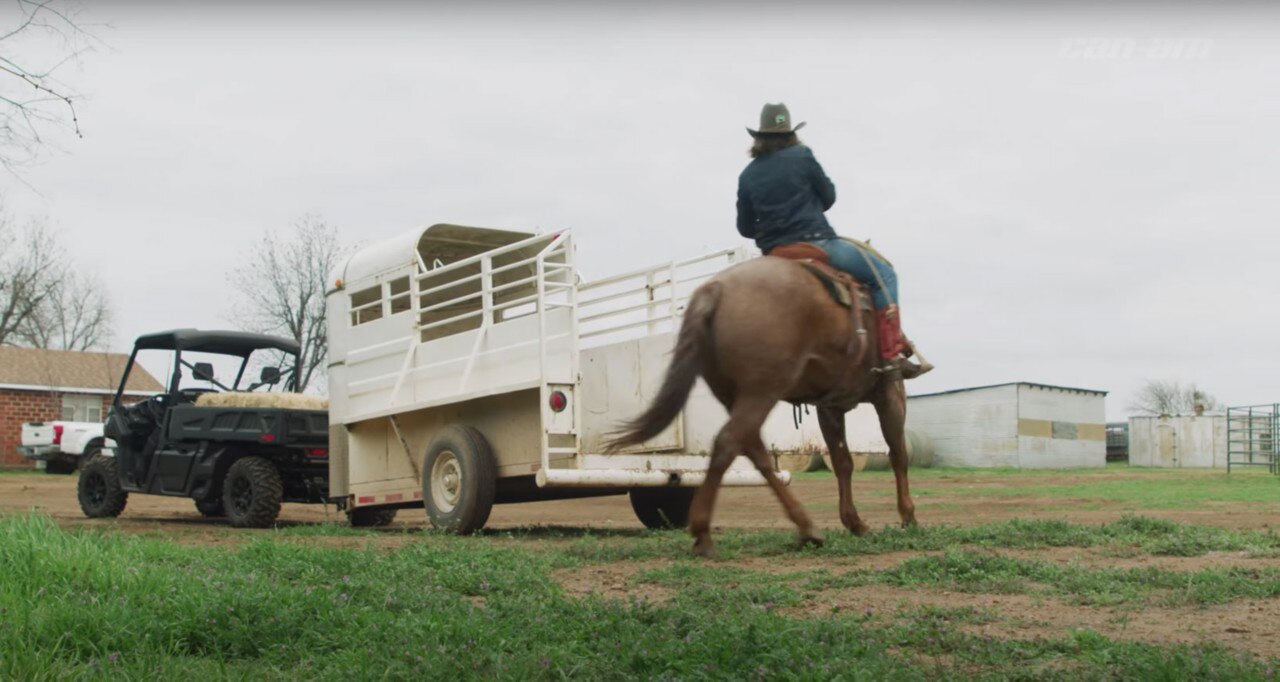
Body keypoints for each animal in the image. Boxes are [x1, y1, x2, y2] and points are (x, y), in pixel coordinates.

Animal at [605, 255, 918, 557]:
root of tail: (715, 290)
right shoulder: (891, 393)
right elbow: (898, 454)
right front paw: (908, 517)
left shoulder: (829, 406)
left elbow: (843, 462)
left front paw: (855, 522)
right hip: (762, 391)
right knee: (729, 442)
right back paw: (704, 533)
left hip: (736, 394)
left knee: (753, 449)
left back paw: (806, 527)